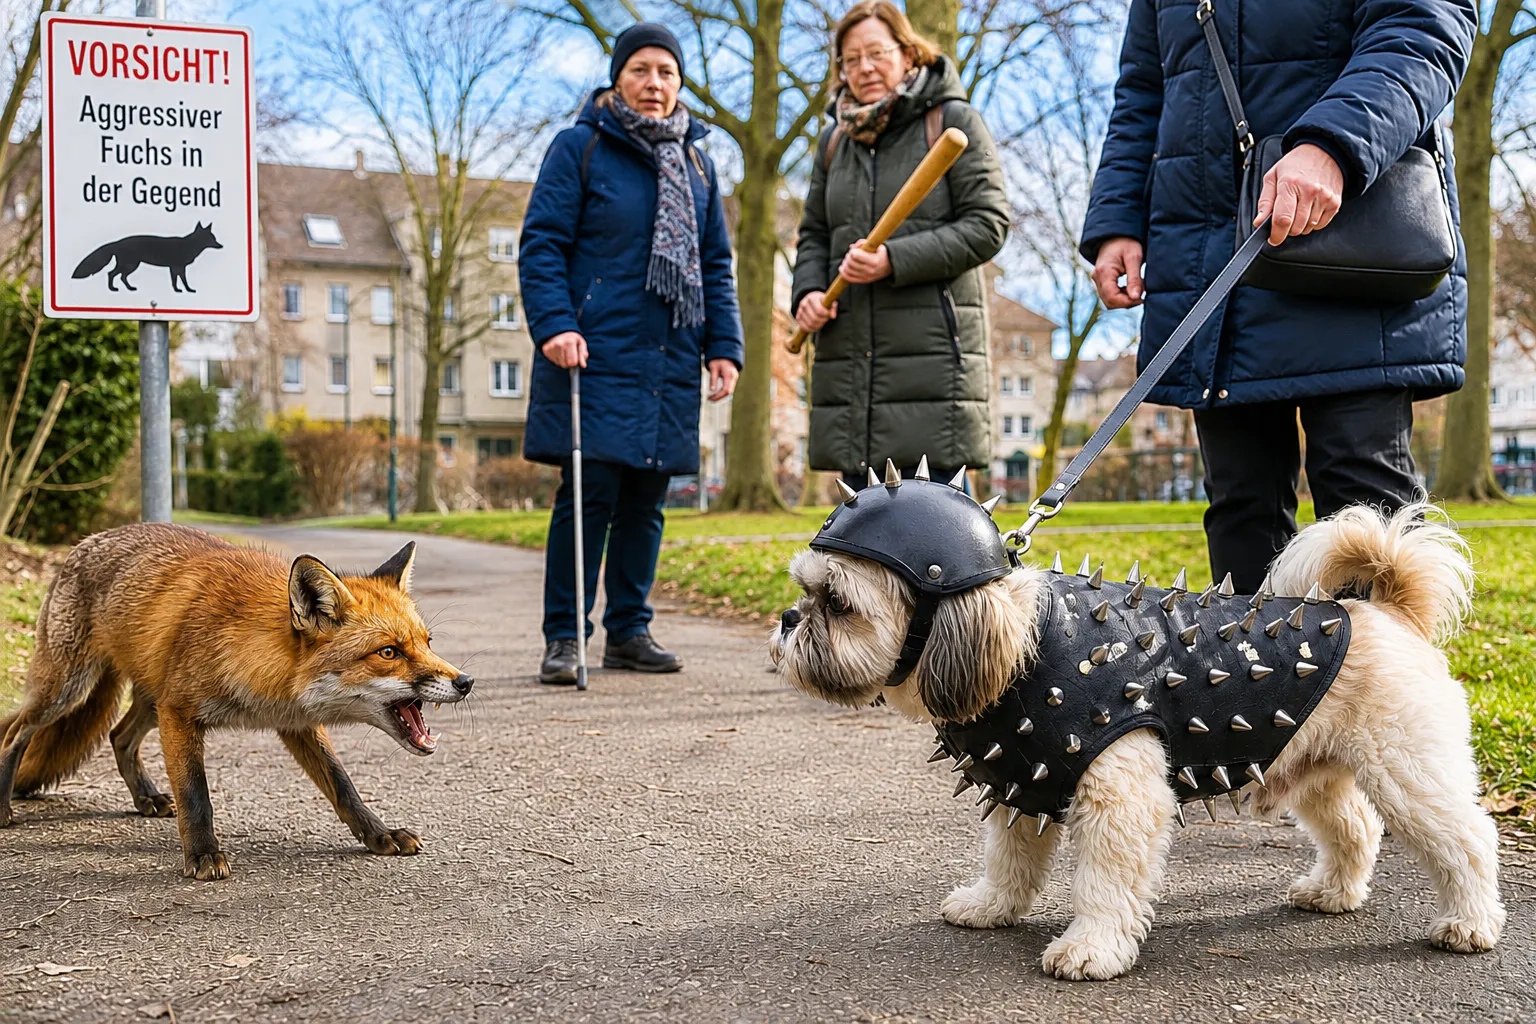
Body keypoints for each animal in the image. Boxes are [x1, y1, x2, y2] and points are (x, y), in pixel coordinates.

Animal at [0, 523, 473, 881]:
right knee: (15, 733)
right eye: (389, 652)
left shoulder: (296, 722)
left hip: (149, 700)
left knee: (118, 737)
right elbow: (195, 793)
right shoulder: (180, 712)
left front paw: (379, 836)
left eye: (427, 643)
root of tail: (84, 542)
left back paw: (146, 798)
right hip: (69, 689)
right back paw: (4, 806)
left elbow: (343, 786)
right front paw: (203, 855)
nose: (466, 682)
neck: (250, 652)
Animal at [71, 221, 222, 293]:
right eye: (212, 238)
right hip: (130, 265)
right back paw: (113, 289)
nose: (221, 245)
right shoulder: (177, 267)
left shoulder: (176, 267)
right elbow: (180, 280)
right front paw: (182, 290)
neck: (189, 245)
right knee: (112, 274)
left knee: (121, 276)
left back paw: (129, 288)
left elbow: (177, 280)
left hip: (131, 265)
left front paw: (182, 290)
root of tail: (118, 242)